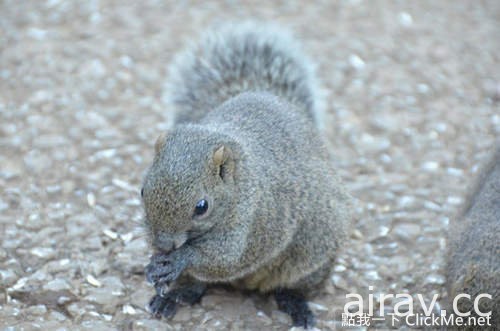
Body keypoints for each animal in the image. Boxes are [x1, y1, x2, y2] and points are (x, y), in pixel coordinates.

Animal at [141, 22, 352, 330]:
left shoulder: (255, 221)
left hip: (313, 255)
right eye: (142, 191)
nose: (164, 245)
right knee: (197, 285)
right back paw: (176, 296)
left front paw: (179, 259)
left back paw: (296, 304)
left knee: (297, 284)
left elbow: (225, 257)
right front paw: (156, 265)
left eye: (201, 206)